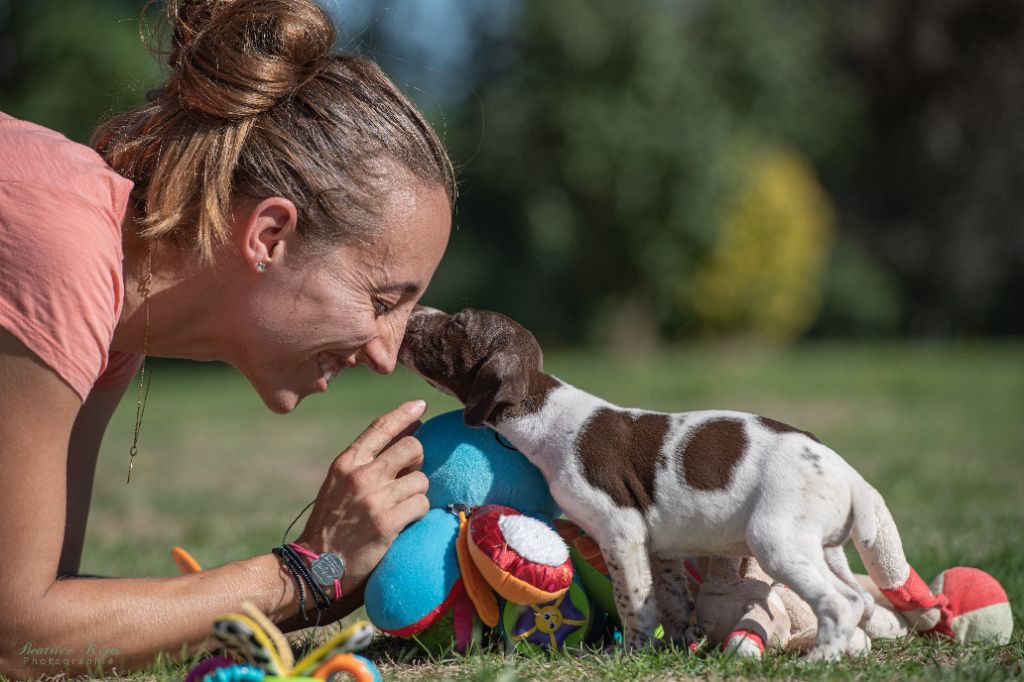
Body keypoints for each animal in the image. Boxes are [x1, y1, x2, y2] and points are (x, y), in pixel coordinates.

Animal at [403, 307, 925, 659]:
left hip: (777, 541)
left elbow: (634, 601)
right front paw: (678, 646)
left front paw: (629, 652)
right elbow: (672, 601)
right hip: (826, 549)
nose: (414, 314)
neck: (541, 409)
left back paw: (818, 660)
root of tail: (850, 475)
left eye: (455, 324)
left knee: (838, 602)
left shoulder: (621, 531)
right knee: (858, 599)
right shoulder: (663, 548)